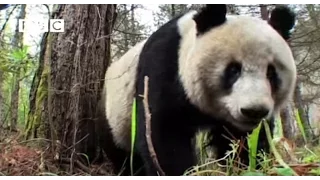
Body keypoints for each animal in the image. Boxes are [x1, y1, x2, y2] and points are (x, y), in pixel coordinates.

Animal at [100, 3, 298, 176]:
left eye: (271, 73)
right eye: (233, 69)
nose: (253, 111)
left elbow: (244, 140)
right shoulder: (163, 68)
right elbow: (164, 131)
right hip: (115, 116)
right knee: (123, 154)